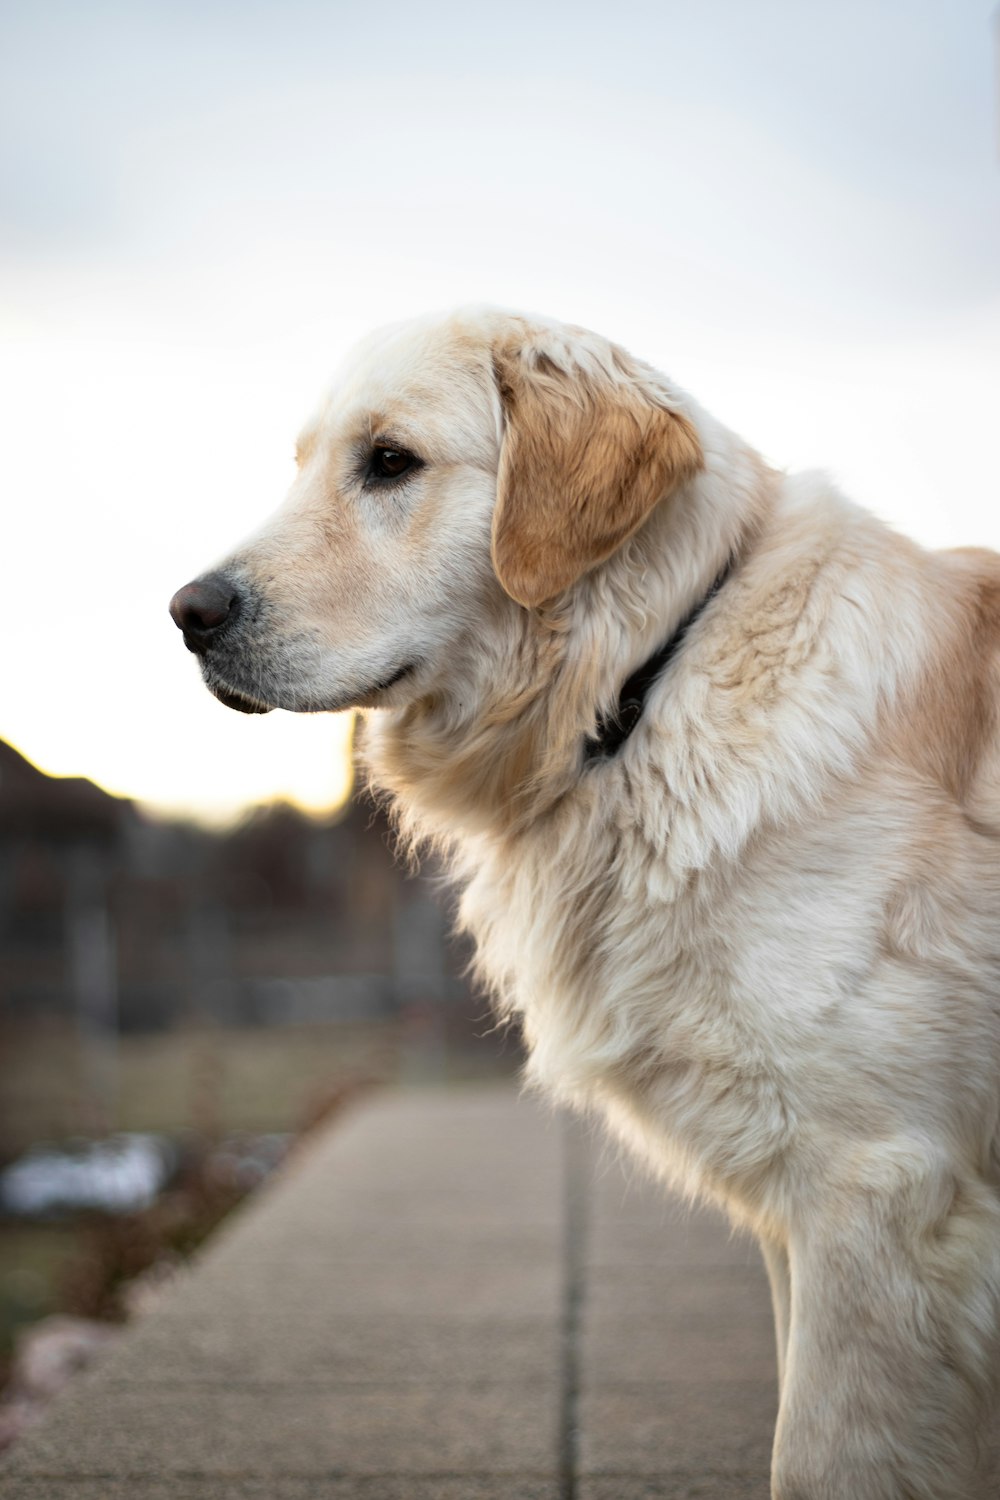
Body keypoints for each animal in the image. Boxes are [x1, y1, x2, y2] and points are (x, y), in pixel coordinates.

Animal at [170, 310, 1000, 1494]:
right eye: (301, 464)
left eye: (390, 462)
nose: (186, 612)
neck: (645, 685)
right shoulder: (807, 1207)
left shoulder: (876, 1188)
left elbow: (818, 1458)